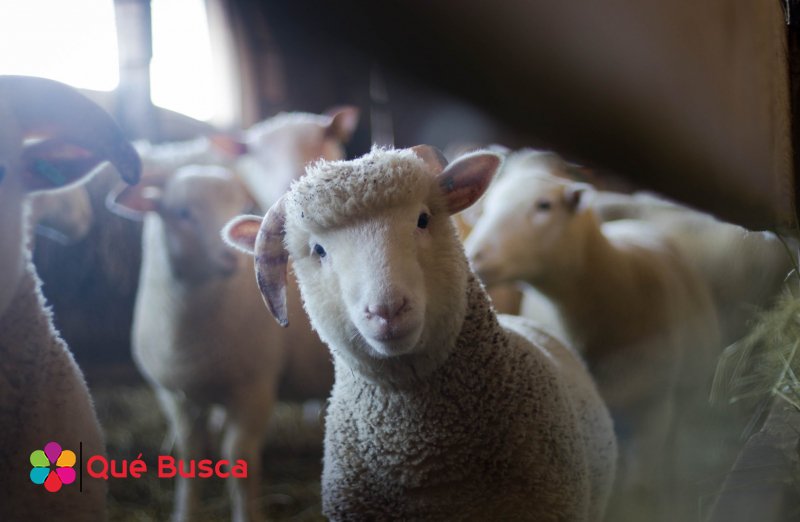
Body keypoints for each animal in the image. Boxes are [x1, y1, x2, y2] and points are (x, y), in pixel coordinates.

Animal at [107, 108, 357, 522]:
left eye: (240, 206)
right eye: (182, 213)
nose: (229, 257)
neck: (189, 332)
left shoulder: (254, 389)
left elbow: (239, 458)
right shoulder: (174, 395)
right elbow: (189, 456)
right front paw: (184, 512)